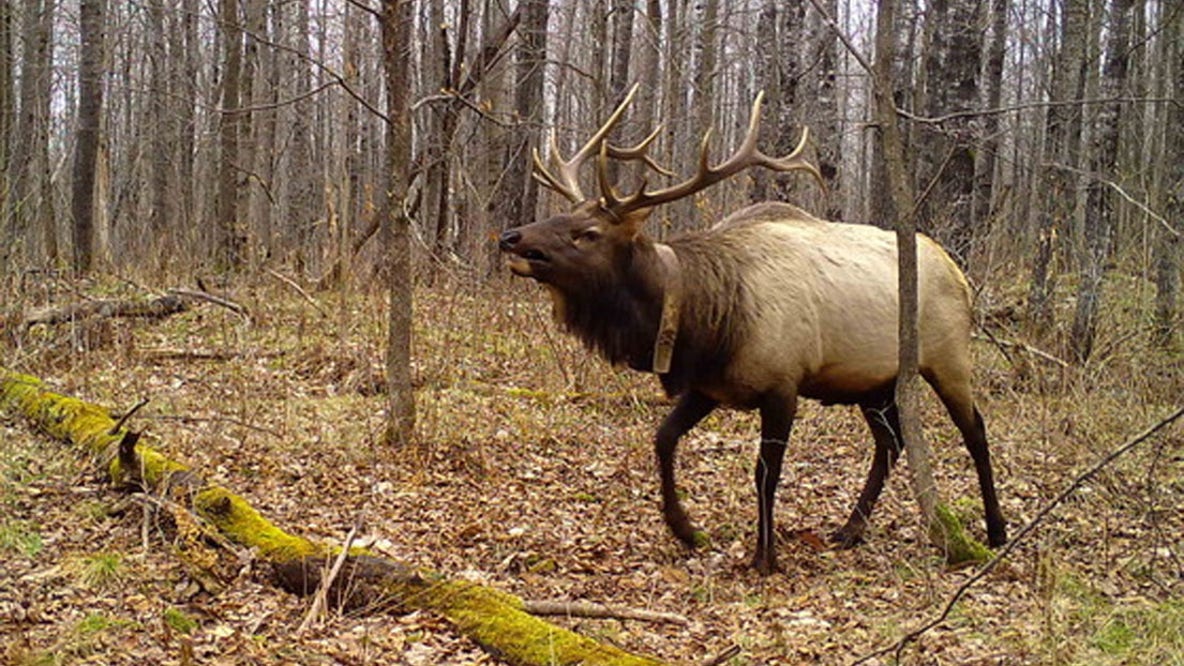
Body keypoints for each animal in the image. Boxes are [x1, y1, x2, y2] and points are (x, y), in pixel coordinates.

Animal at [498, 86, 1006, 574]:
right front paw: (686, 529)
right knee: (891, 442)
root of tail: (960, 274)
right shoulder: (708, 386)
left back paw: (996, 530)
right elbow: (663, 439)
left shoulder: (783, 385)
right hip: (873, 383)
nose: (510, 238)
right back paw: (850, 529)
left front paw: (765, 556)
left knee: (976, 432)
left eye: (588, 233)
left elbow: (766, 472)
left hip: (948, 358)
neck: (705, 323)